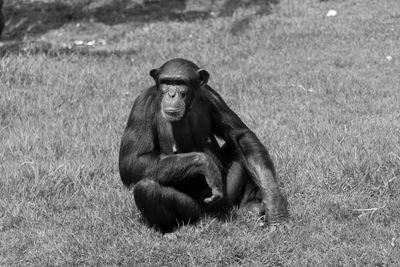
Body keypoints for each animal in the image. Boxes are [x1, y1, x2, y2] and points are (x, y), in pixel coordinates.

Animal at [117, 59, 290, 231]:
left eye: (180, 83)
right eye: (166, 82)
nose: (171, 94)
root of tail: (212, 215)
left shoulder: (213, 96)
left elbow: (241, 136)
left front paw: (276, 209)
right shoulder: (142, 105)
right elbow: (133, 160)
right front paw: (204, 163)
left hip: (226, 198)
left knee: (238, 148)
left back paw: (250, 206)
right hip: (194, 210)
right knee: (146, 188)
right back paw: (170, 230)